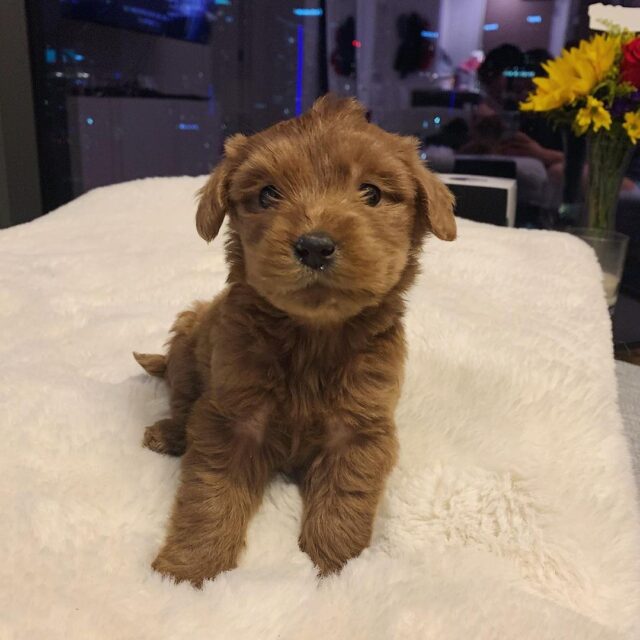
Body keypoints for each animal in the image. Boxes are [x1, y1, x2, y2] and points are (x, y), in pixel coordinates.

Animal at [135, 95, 456, 584]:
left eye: (371, 193)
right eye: (268, 194)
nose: (315, 246)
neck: (311, 337)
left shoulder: (359, 430)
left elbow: (345, 498)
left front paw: (334, 568)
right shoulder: (232, 419)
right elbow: (211, 495)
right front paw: (188, 571)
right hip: (189, 340)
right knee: (183, 399)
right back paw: (170, 433)